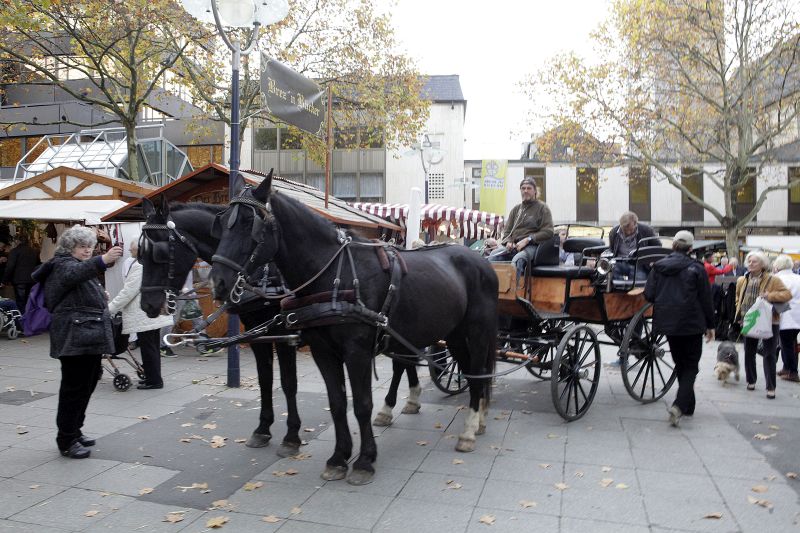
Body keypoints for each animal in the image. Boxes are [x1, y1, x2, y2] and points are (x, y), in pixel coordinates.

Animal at [136, 196, 302, 457]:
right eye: (140, 254)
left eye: (160, 253)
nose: (148, 305)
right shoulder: (257, 333)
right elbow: (265, 380)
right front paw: (263, 429)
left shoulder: (285, 334)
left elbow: (288, 383)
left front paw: (292, 436)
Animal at [209, 171, 498, 486]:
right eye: (221, 223)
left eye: (249, 223)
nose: (218, 282)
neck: (335, 275)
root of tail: (481, 260)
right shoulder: (323, 351)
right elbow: (337, 402)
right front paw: (338, 458)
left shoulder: (356, 352)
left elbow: (361, 404)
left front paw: (364, 461)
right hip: (453, 334)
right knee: (466, 370)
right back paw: (477, 419)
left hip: (477, 332)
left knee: (478, 371)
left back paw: (470, 429)